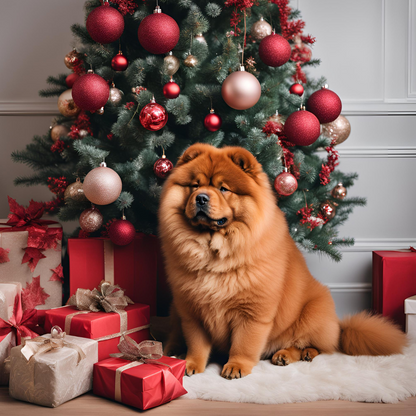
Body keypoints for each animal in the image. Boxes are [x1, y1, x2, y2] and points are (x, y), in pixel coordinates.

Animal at [158, 144, 406, 380]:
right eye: (194, 186)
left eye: (223, 188)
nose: (201, 197)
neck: (214, 250)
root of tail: (339, 326)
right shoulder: (192, 311)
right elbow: (197, 344)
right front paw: (190, 364)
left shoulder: (252, 312)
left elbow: (244, 344)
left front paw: (236, 366)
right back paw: (174, 351)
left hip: (312, 312)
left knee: (314, 345)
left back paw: (291, 354)